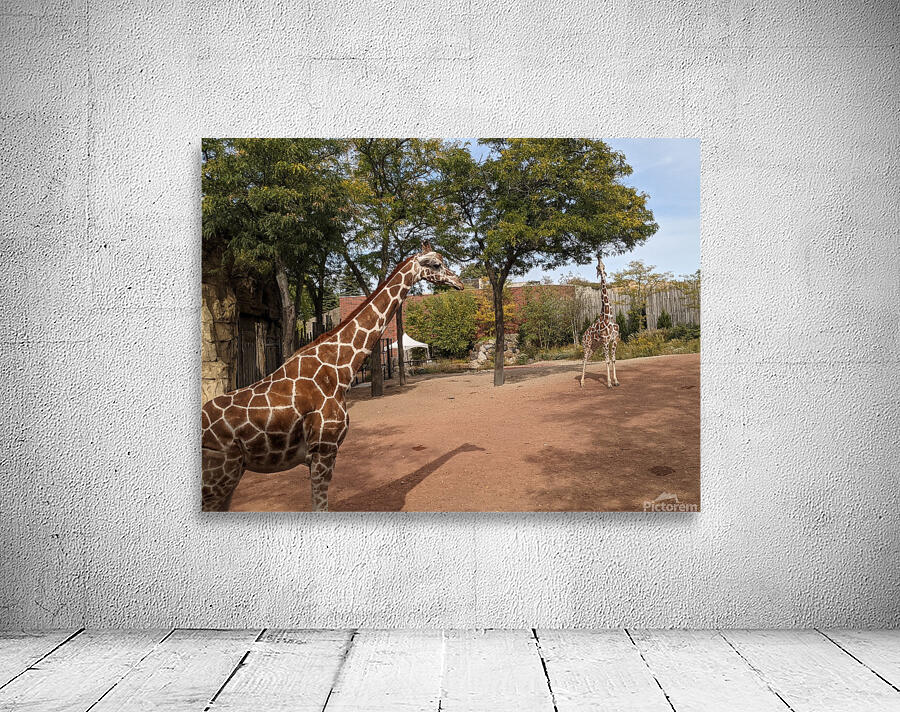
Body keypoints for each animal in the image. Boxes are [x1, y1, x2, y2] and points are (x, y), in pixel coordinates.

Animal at [201, 241, 464, 512]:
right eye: (436, 264)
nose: (459, 283)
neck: (339, 370)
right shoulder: (324, 450)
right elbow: (320, 506)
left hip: (231, 474)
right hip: (218, 475)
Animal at [579, 253, 620, 389]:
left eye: (603, 265)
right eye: (597, 267)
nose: (598, 256)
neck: (608, 315)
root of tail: (583, 335)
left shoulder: (614, 340)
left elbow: (613, 360)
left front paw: (616, 381)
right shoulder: (605, 341)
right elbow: (606, 360)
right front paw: (609, 383)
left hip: (594, 347)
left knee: (586, 360)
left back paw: (583, 381)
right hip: (586, 345)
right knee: (584, 360)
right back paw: (582, 382)